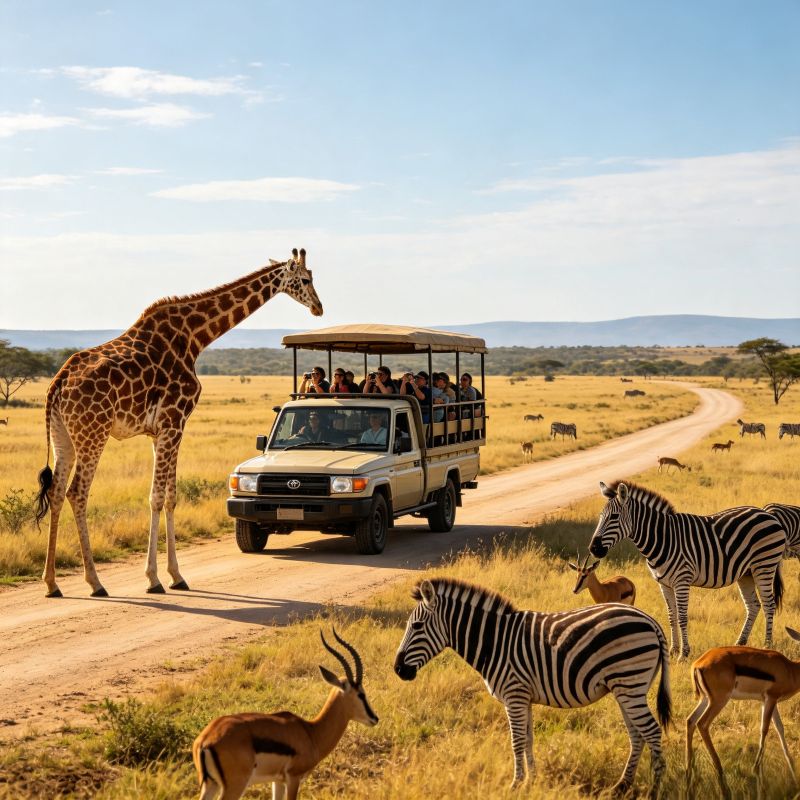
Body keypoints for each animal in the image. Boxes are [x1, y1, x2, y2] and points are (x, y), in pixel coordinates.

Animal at [35, 249, 322, 598]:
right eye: (305, 280)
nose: (319, 307)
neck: (195, 337)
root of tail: (58, 384)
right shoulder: (175, 420)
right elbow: (158, 498)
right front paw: (155, 579)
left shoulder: (159, 430)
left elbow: (170, 497)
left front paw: (175, 575)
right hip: (94, 432)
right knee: (77, 492)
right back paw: (95, 582)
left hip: (62, 435)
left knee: (56, 491)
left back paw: (52, 583)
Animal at [394, 577, 671, 797]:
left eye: (416, 626)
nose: (397, 669)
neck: (494, 642)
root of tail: (650, 621)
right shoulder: (524, 697)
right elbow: (528, 739)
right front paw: (532, 780)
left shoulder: (514, 694)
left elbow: (516, 741)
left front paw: (515, 785)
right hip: (627, 688)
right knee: (637, 735)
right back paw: (621, 786)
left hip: (629, 683)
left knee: (652, 732)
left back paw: (655, 790)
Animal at [589, 481, 786, 659]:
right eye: (600, 516)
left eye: (614, 517)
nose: (593, 548)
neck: (663, 539)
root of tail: (767, 514)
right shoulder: (664, 584)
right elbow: (672, 616)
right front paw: (672, 650)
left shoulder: (682, 581)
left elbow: (682, 617)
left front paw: (684, 654)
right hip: (746, 573)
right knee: (753, 605)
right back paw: (740, 643)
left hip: (764, 565)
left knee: (769, 604)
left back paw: (767, 645)